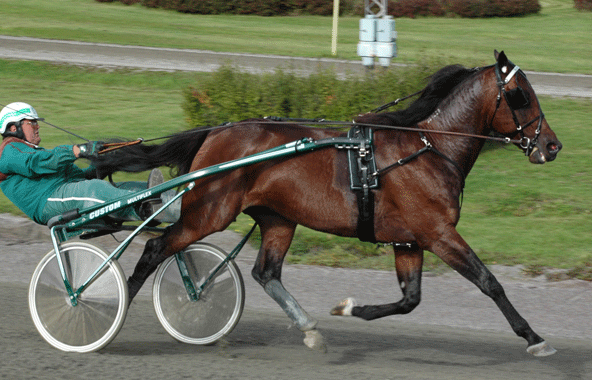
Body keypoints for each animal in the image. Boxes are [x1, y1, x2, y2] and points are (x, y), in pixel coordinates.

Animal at [90, 50, 560, 356]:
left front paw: (348, 308)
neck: (429, 148)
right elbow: (489, 282)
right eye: (521, 94)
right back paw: (112, 310)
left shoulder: (409, 241)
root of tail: (215, 131)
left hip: (277, 218)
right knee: (155, 247)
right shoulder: (438, 233)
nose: (552, 146)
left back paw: (309, 327)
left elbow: (410, 300)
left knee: (266, 273)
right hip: (209, 211)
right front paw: (534, 337)